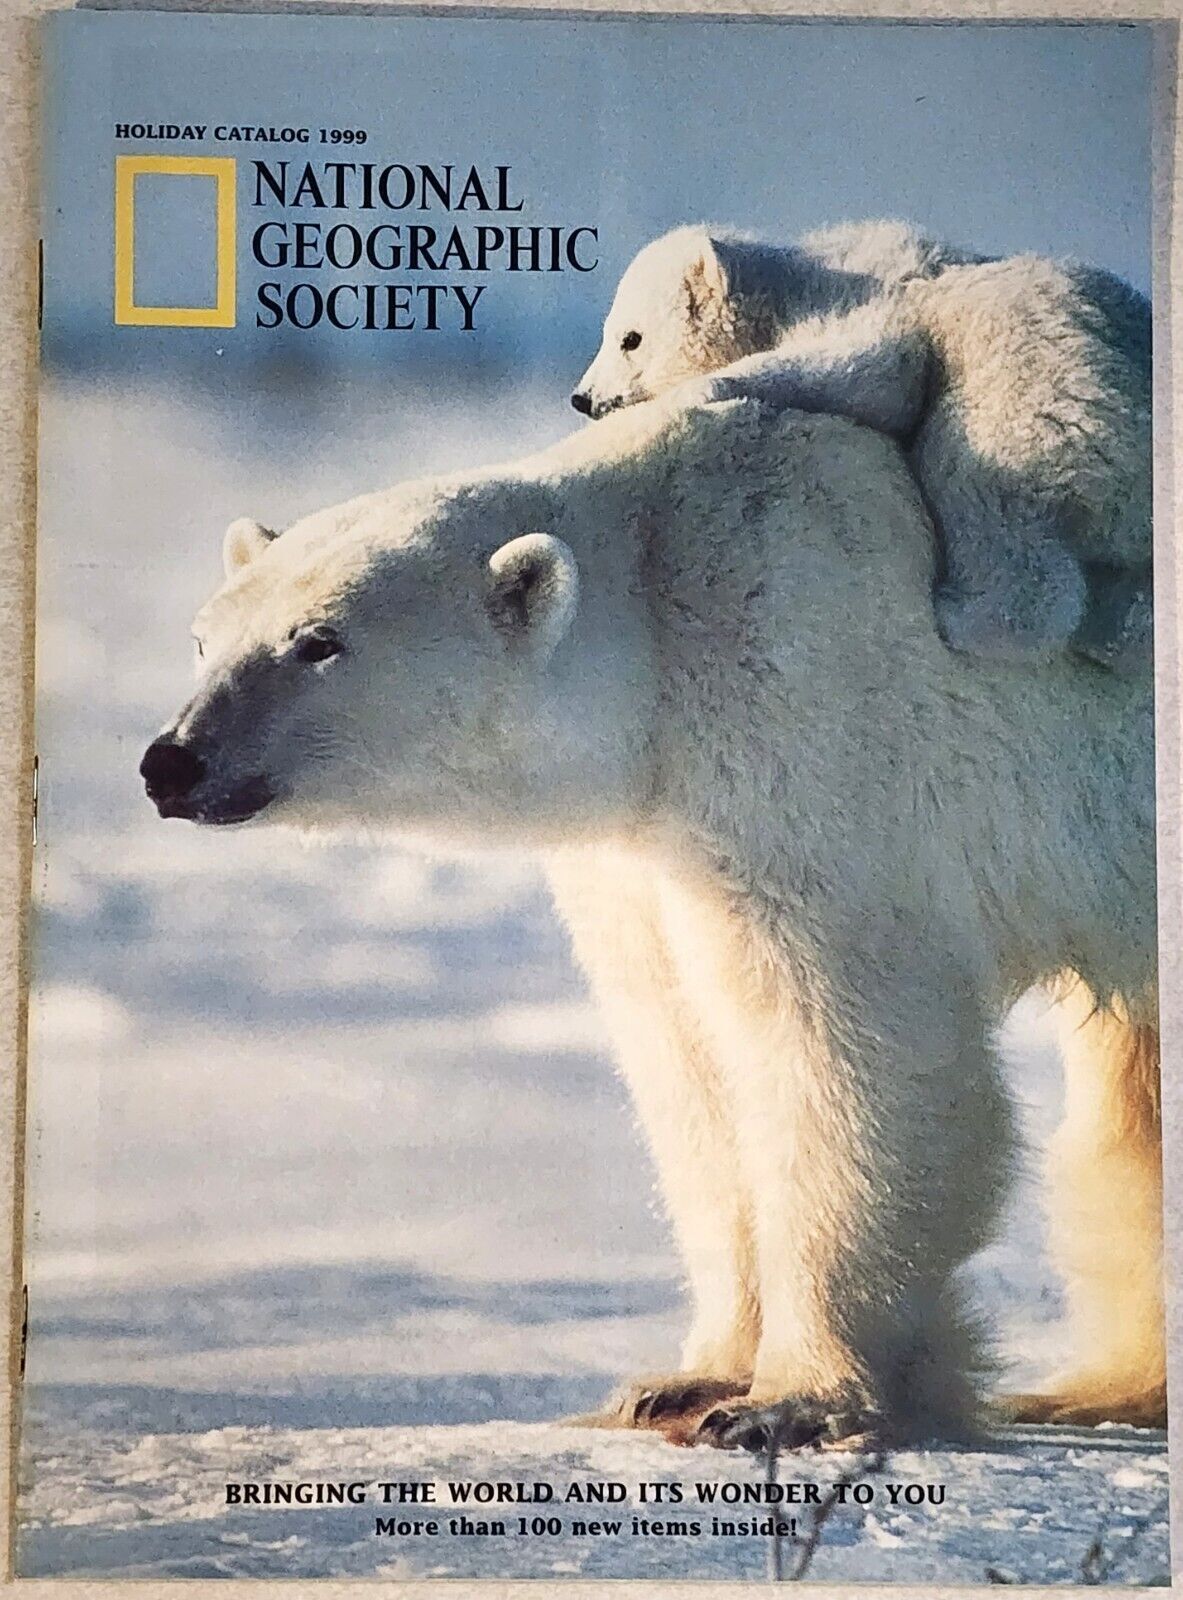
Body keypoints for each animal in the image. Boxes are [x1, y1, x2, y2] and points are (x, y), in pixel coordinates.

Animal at [140, 395, 1163, 1448]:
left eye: (319, 641)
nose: (173, 762)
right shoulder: (649, 849)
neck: (665, 618)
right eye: (205, 638)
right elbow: (689, 1065)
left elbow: (850, 1055)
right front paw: (684, 1380)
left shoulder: (815, 742)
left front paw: (791, 1400)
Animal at [572, 222, 1153, 674]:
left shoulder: (866, 301)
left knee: (979, 488)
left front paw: (700, 388)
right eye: (608, 333)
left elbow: (880, 367)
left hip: (1030, 402)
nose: (583, 398)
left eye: (630, 338)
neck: (795, 280)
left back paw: (962, 611)